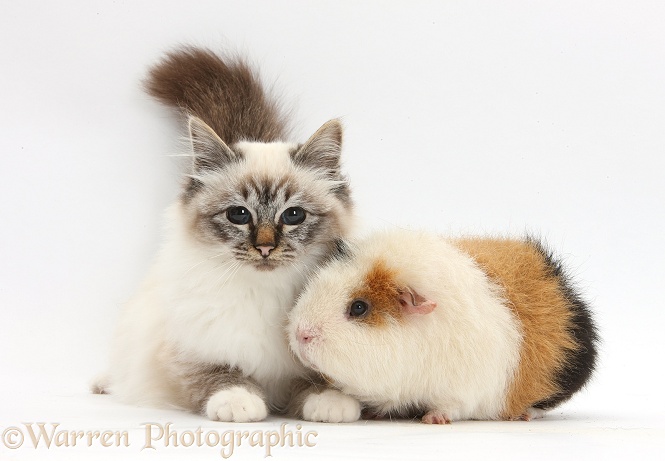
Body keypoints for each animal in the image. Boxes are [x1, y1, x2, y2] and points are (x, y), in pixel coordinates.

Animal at [94, 46, 356, 420]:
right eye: (238, 215)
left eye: (293, 215)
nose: (265, 247)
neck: (265, 293)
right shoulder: (188, 355)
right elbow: (221, 376)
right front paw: (239, 403)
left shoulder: (305, 360)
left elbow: (314, 381)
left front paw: (331, 403)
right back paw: (103, 384)